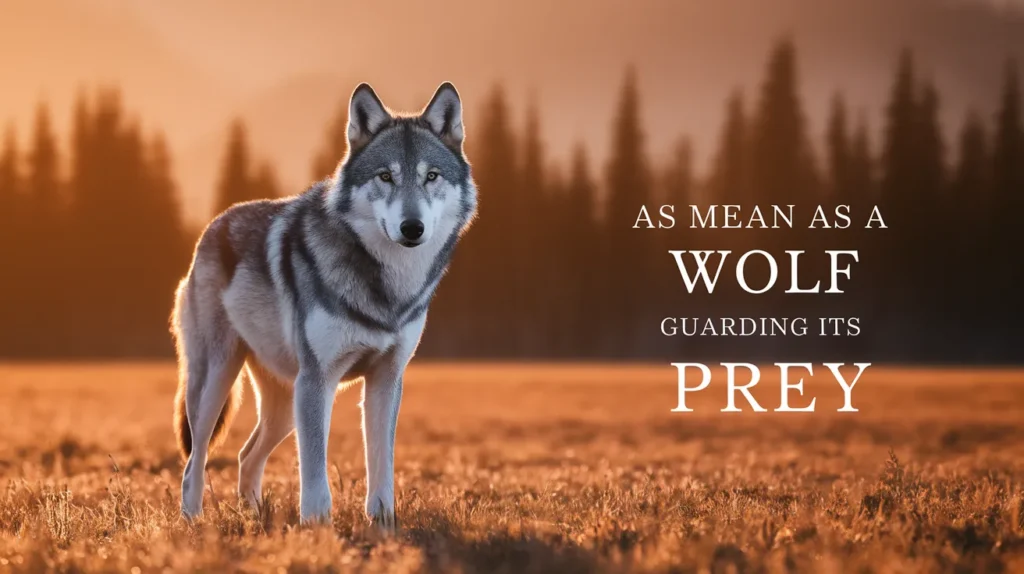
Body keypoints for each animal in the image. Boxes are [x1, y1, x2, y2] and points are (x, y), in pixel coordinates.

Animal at [170, 82, 476, 528]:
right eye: (386, 176)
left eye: (431, 176)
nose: (412, 228)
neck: (387, 287)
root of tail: (213, 225)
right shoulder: (318, 380)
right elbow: (314, 468)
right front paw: (316, 526)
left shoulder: (386, 379)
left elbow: (381, 463)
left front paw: (383, 524)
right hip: (219, 385)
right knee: (195, 460)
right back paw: (193, 524)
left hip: (283, 403)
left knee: (246, 455)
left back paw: (255, 517)